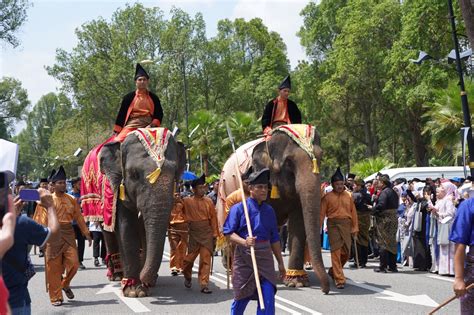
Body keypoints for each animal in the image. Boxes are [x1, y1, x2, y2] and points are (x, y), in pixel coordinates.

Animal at [100, 130, 187, 298]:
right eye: (134, 174)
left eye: (175, 174)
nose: (147, 281)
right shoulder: (118, 191)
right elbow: (126, 228)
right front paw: (134, 291)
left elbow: (144, 231)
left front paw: (144, 286)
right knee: (107, 232)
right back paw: (116, 276)